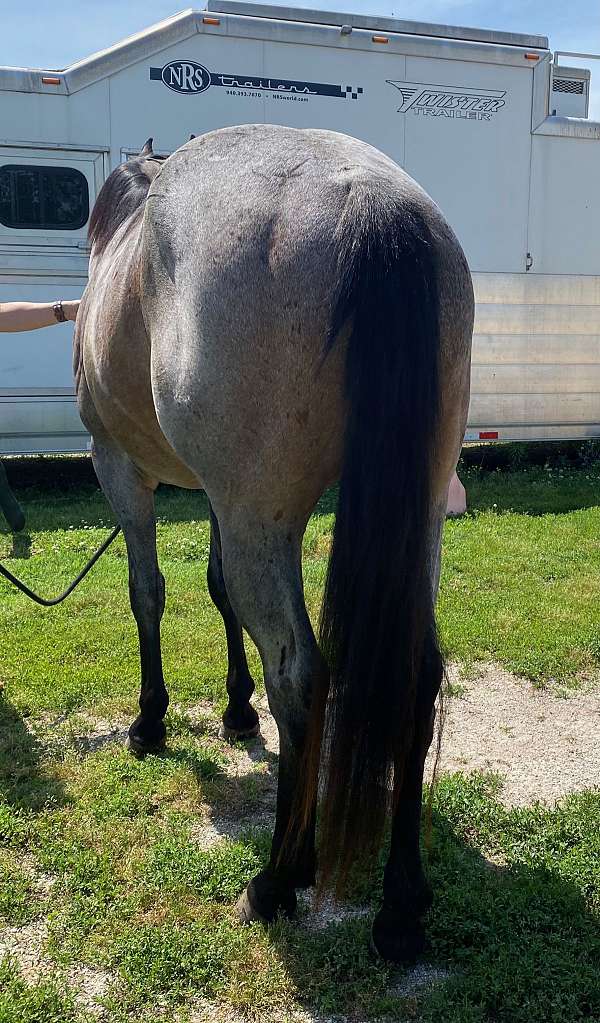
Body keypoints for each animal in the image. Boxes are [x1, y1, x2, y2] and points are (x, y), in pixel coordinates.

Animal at [74, 123, 474, 961]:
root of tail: (372, 201)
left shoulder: (122, 470)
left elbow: (147, 593)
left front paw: (151, 721)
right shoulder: (216, 499)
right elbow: (218, 589)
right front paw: (234, 711)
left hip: (260, 513)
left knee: (299, 673)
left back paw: (277, 879)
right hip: (407, 515)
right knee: (416, 675)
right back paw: (400, 905)